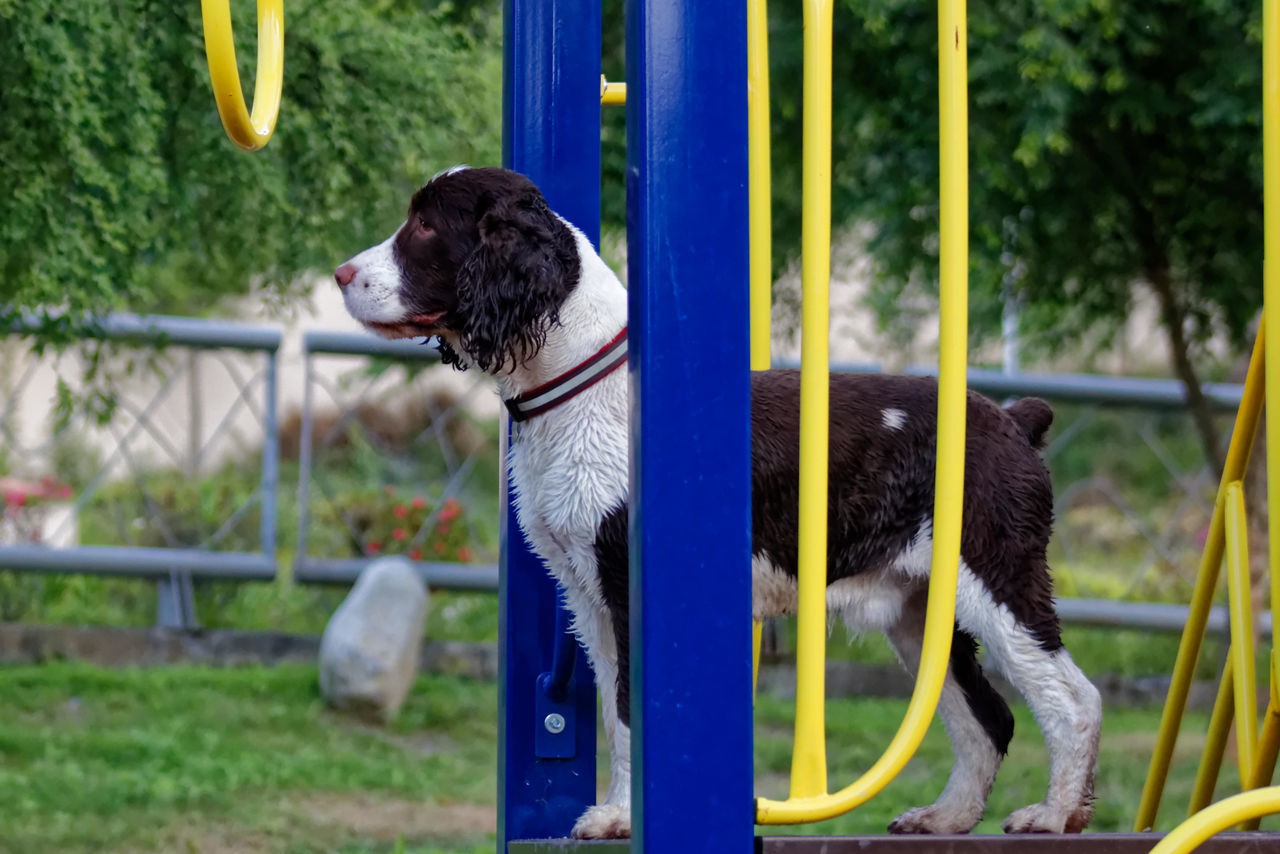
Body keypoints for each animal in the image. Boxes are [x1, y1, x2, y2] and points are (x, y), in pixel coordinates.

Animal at [337, 166, 1100, 839]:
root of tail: (1014, 418)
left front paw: (623, 818)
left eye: (426, 224)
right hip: (921, 611)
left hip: (997, 575)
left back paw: (1054, 815)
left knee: (1072, 699)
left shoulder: (626, 583)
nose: (341, 275)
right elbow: (615, 713)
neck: (585, 384)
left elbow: (629, 708)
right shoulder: (589, 595)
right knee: (986, 718)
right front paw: (617, 814)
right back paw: (946, 818)